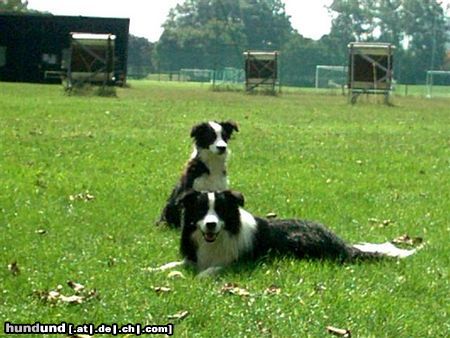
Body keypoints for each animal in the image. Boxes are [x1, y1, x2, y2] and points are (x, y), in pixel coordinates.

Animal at [154, 191, 414, 276]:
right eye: (201, 211)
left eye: (220, 211)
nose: (210, 225)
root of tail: (339, 242)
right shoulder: (193, 257)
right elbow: (172, 264)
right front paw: (154, 270)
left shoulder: (238, 262)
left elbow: (211, 270)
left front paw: (198, 278)